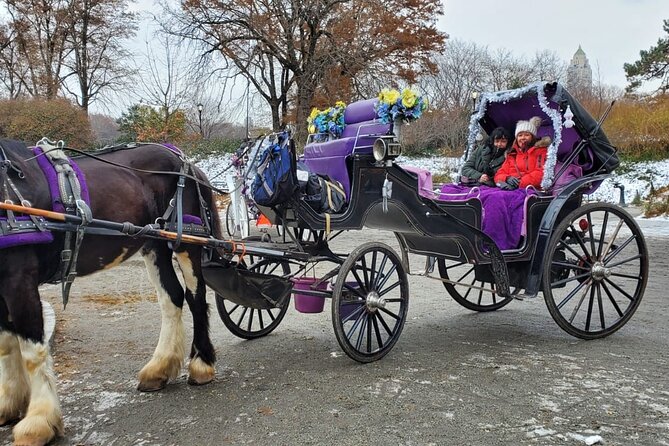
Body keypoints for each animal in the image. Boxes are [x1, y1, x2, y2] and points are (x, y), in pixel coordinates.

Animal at [0, 138, 224, 444]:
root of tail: (182, 158)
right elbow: (6, 343)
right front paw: (10, 402)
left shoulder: (19, 278)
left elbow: (32, 350)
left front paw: (38, 420)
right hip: (153, 244)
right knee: (172, 298)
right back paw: (159, 367)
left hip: (187, 242)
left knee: (196, 298)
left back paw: (201, 365)